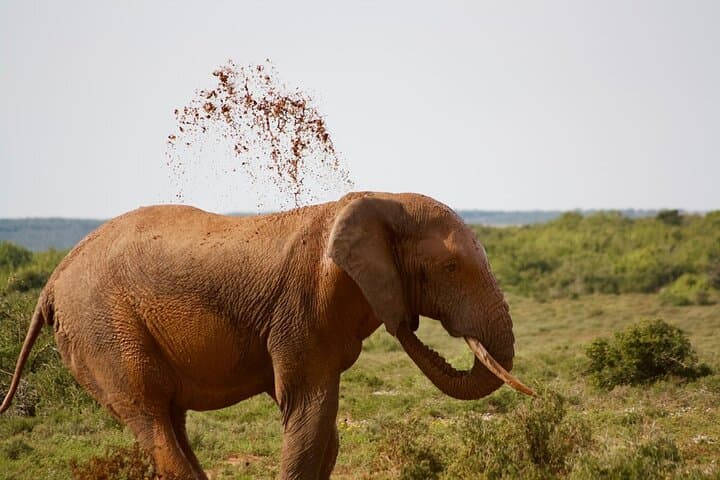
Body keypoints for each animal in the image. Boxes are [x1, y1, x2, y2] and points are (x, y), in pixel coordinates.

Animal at [1, 191, 532, 479]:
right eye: (450, 267)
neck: (375, 199)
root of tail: (51, 282)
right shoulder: (303, 310)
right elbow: (308, 416)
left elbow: (322, 432)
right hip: (103, 330)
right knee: (150, 413)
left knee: (170, 417)